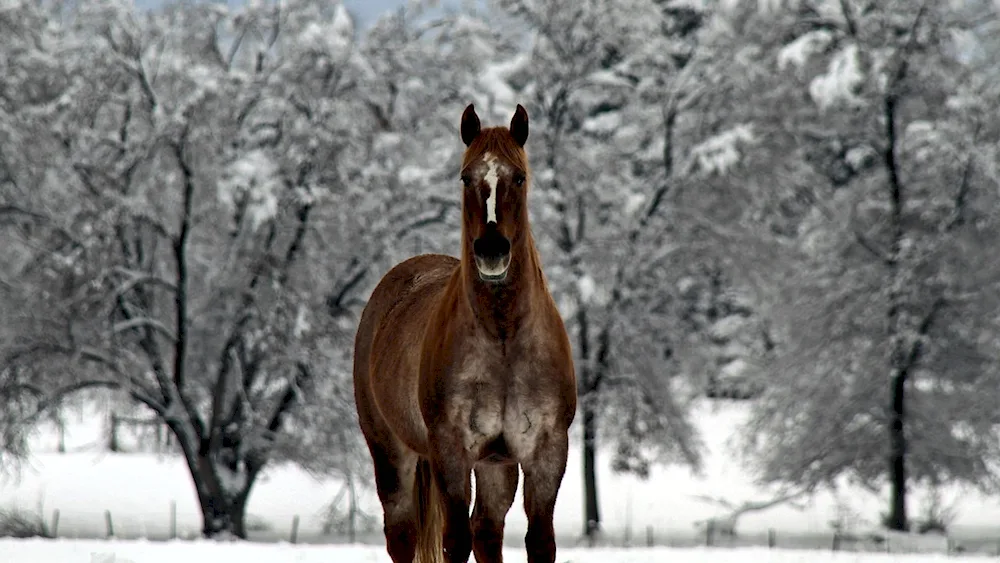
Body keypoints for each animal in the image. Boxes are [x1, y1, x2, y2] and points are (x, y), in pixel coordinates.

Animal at [356, 103, 580, 560]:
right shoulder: (451, 450)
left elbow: (539, 541)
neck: (503, 338)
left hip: (497, 467)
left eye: (519, 176)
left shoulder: (546, 451)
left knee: (487, 531)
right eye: (465, 177)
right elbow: (454, 541)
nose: (492, 251)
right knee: (403, 535)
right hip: (391, 453)